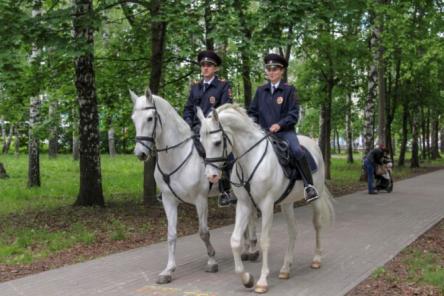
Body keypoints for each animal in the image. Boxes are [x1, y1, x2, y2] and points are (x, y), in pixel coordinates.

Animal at [130, 89, 258, 284]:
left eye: (150, 118)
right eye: (133, 118)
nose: (140, 153)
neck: (176, 156)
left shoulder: (200, 200)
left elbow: (204, 232)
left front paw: (212, 261)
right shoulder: (168, 201)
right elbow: (171, 235)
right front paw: (168, 270)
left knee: (251, 217)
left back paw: (252, 249)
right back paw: (245, 249)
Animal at [196, 104, 334, 294]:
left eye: (217, 142)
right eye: (201, 143)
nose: (211, 176)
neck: (250, 160)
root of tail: (312, 142)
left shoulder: (267, 205)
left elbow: (264, 241)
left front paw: (262, 281)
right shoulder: (244, 205)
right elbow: (235, 240)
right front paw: (247, 279)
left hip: (316, 197)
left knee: (317, 225)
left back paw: (316, 259)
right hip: (287, 203)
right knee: (293, 231)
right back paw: (285, 268)